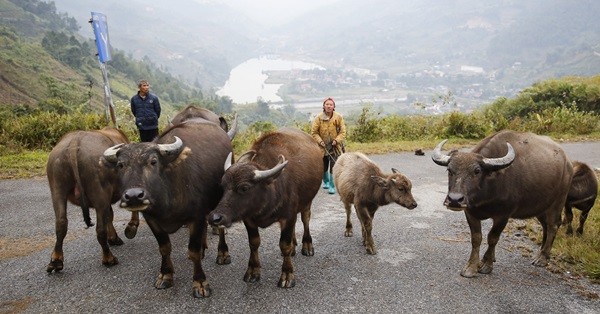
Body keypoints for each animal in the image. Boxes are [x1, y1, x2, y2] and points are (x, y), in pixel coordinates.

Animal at [46, 126, 131, 272]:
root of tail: (74, 143)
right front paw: (114, 238)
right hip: (99, 193)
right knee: (100, 229)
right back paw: (108, 258)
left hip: (57, 188)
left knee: (61, 223)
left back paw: (56, 260)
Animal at [101, 119, 232, 298]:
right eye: (121, 165)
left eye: (153, 162)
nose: (134, 196)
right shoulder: (152, 219)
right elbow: (164, 248)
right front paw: (165, 275)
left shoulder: (196, 217)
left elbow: (193, 251)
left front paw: (200, 283)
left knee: (220, 229)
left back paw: (223, 254)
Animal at [209, 127, 326, 288]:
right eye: (223, 186)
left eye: (244, 188)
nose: (215, 218)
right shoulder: (249, 219)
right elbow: (254, 243)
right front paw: (253, 271)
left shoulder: (288, 216)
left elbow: (284, 245)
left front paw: (287, 275)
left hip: (307, 202)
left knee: (305, 219)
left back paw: (307, 246)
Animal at [432, 130, 572, 278]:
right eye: (449, 170)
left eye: (477, 171)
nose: (454, 200)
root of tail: (567, 163)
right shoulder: (470, 213)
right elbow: (476, 238)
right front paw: (472, 266)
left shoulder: (503, 216)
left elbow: (492, 238)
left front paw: (487, 265)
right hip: (540, 206)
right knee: (545, 225)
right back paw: (541, 252)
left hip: (558, 201)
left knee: (553, 225)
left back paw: (542, 257)